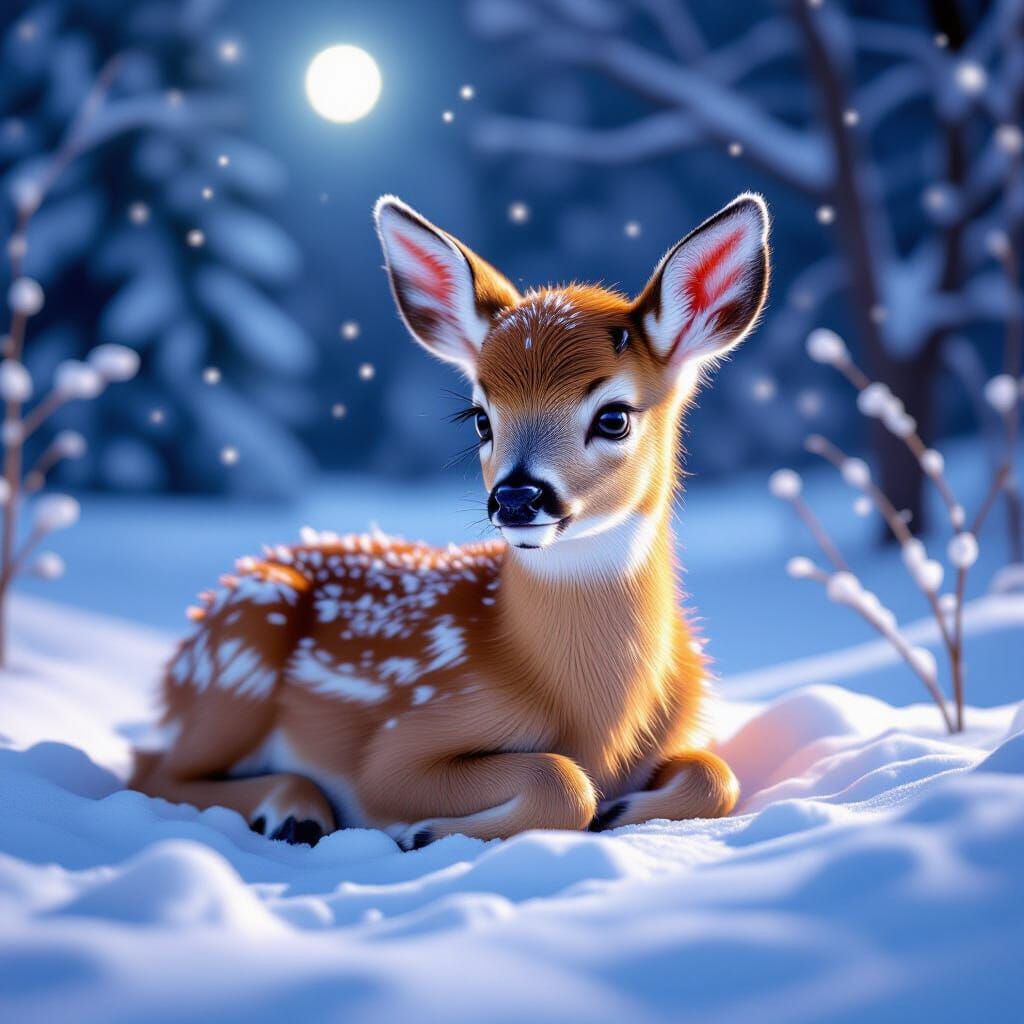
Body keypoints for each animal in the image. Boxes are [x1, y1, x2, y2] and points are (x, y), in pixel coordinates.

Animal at [130, 192, 770, 850]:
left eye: (614, 417)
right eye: (480, 418)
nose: (516, 498)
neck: (595, 719)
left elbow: (717, 775)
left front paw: (619, 809)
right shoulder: (402, 741)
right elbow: (557, 778)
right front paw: (426, 830)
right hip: (243, 647)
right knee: (152, 770)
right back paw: (294, 809)